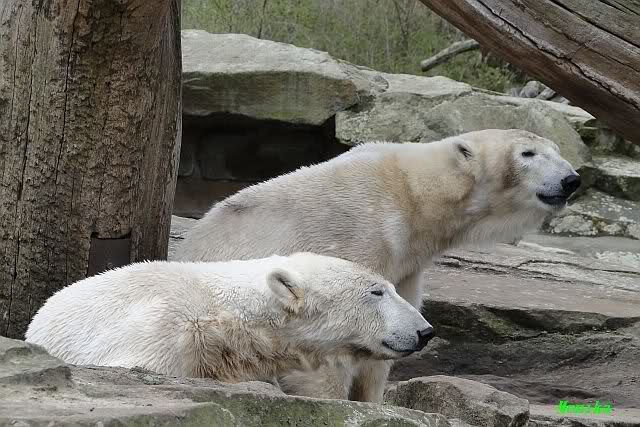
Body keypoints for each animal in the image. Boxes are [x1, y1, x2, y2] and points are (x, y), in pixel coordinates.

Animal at [174, 128, 581, 402]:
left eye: (557, 150)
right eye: (528, 153)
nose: (571, 179)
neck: (413, 199)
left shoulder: (407, 266)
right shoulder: (356, 239)